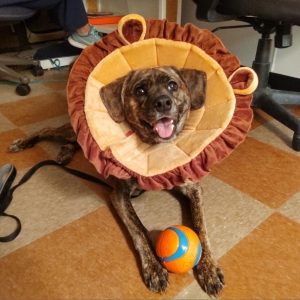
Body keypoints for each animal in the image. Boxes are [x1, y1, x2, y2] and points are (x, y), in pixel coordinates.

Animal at [7, 67, 225, 296]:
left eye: (172, 85)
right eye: (140, 90)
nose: (163, 103)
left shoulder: (193, 188)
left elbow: (201, 227)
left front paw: (209, 268)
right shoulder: (119, 195)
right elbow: (138, 229)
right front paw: (154, 268)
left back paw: (64, 154)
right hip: (69, 130)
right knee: (47, 129)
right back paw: (23, 143)